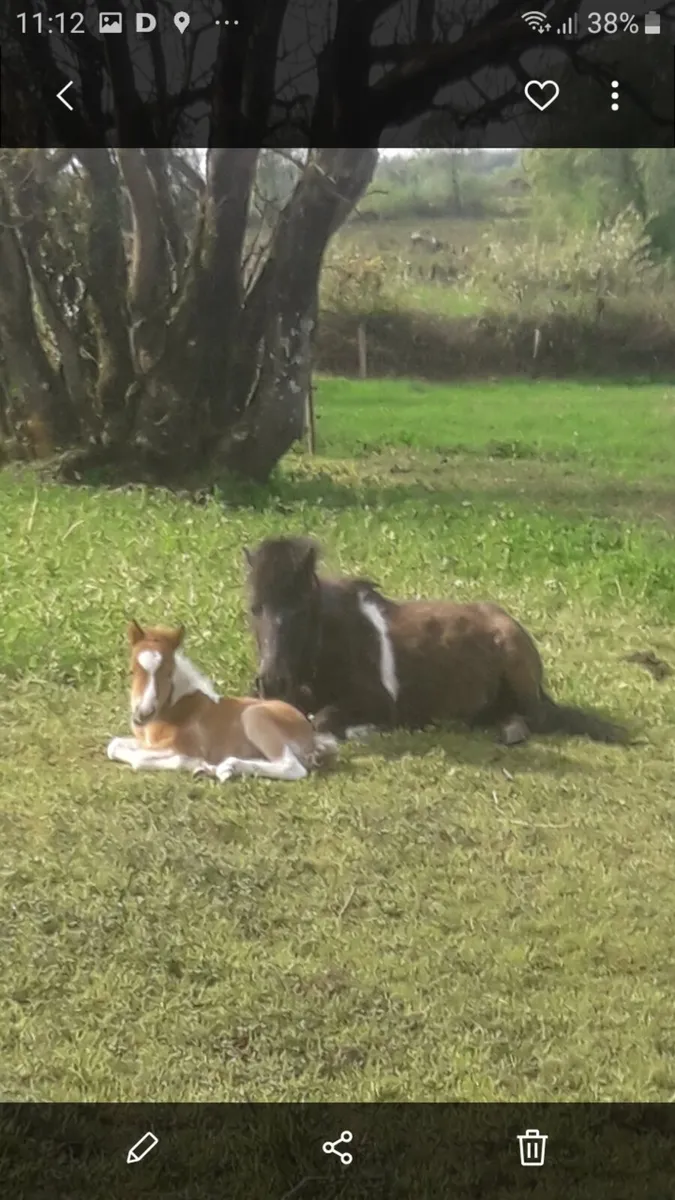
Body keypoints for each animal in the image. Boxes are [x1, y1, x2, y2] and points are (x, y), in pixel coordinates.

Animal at [106, 621, 338, 782]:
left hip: (254, 716)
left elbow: (140, 759)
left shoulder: (183, 746)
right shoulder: (148, 742)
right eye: (131, 671)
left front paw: (195, 763)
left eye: (169, 672)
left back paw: (228, 766)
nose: (141, 715)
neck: (175, 707)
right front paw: (200, 766)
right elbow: (114, 745)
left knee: (292, 767)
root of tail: (311, 735)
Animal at [244, 536, 630, 747]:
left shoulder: (379, 701)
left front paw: (361, 730)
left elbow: (323, 719)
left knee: (537, 717)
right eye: (254, 608)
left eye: (301, 607)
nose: (273, 681)